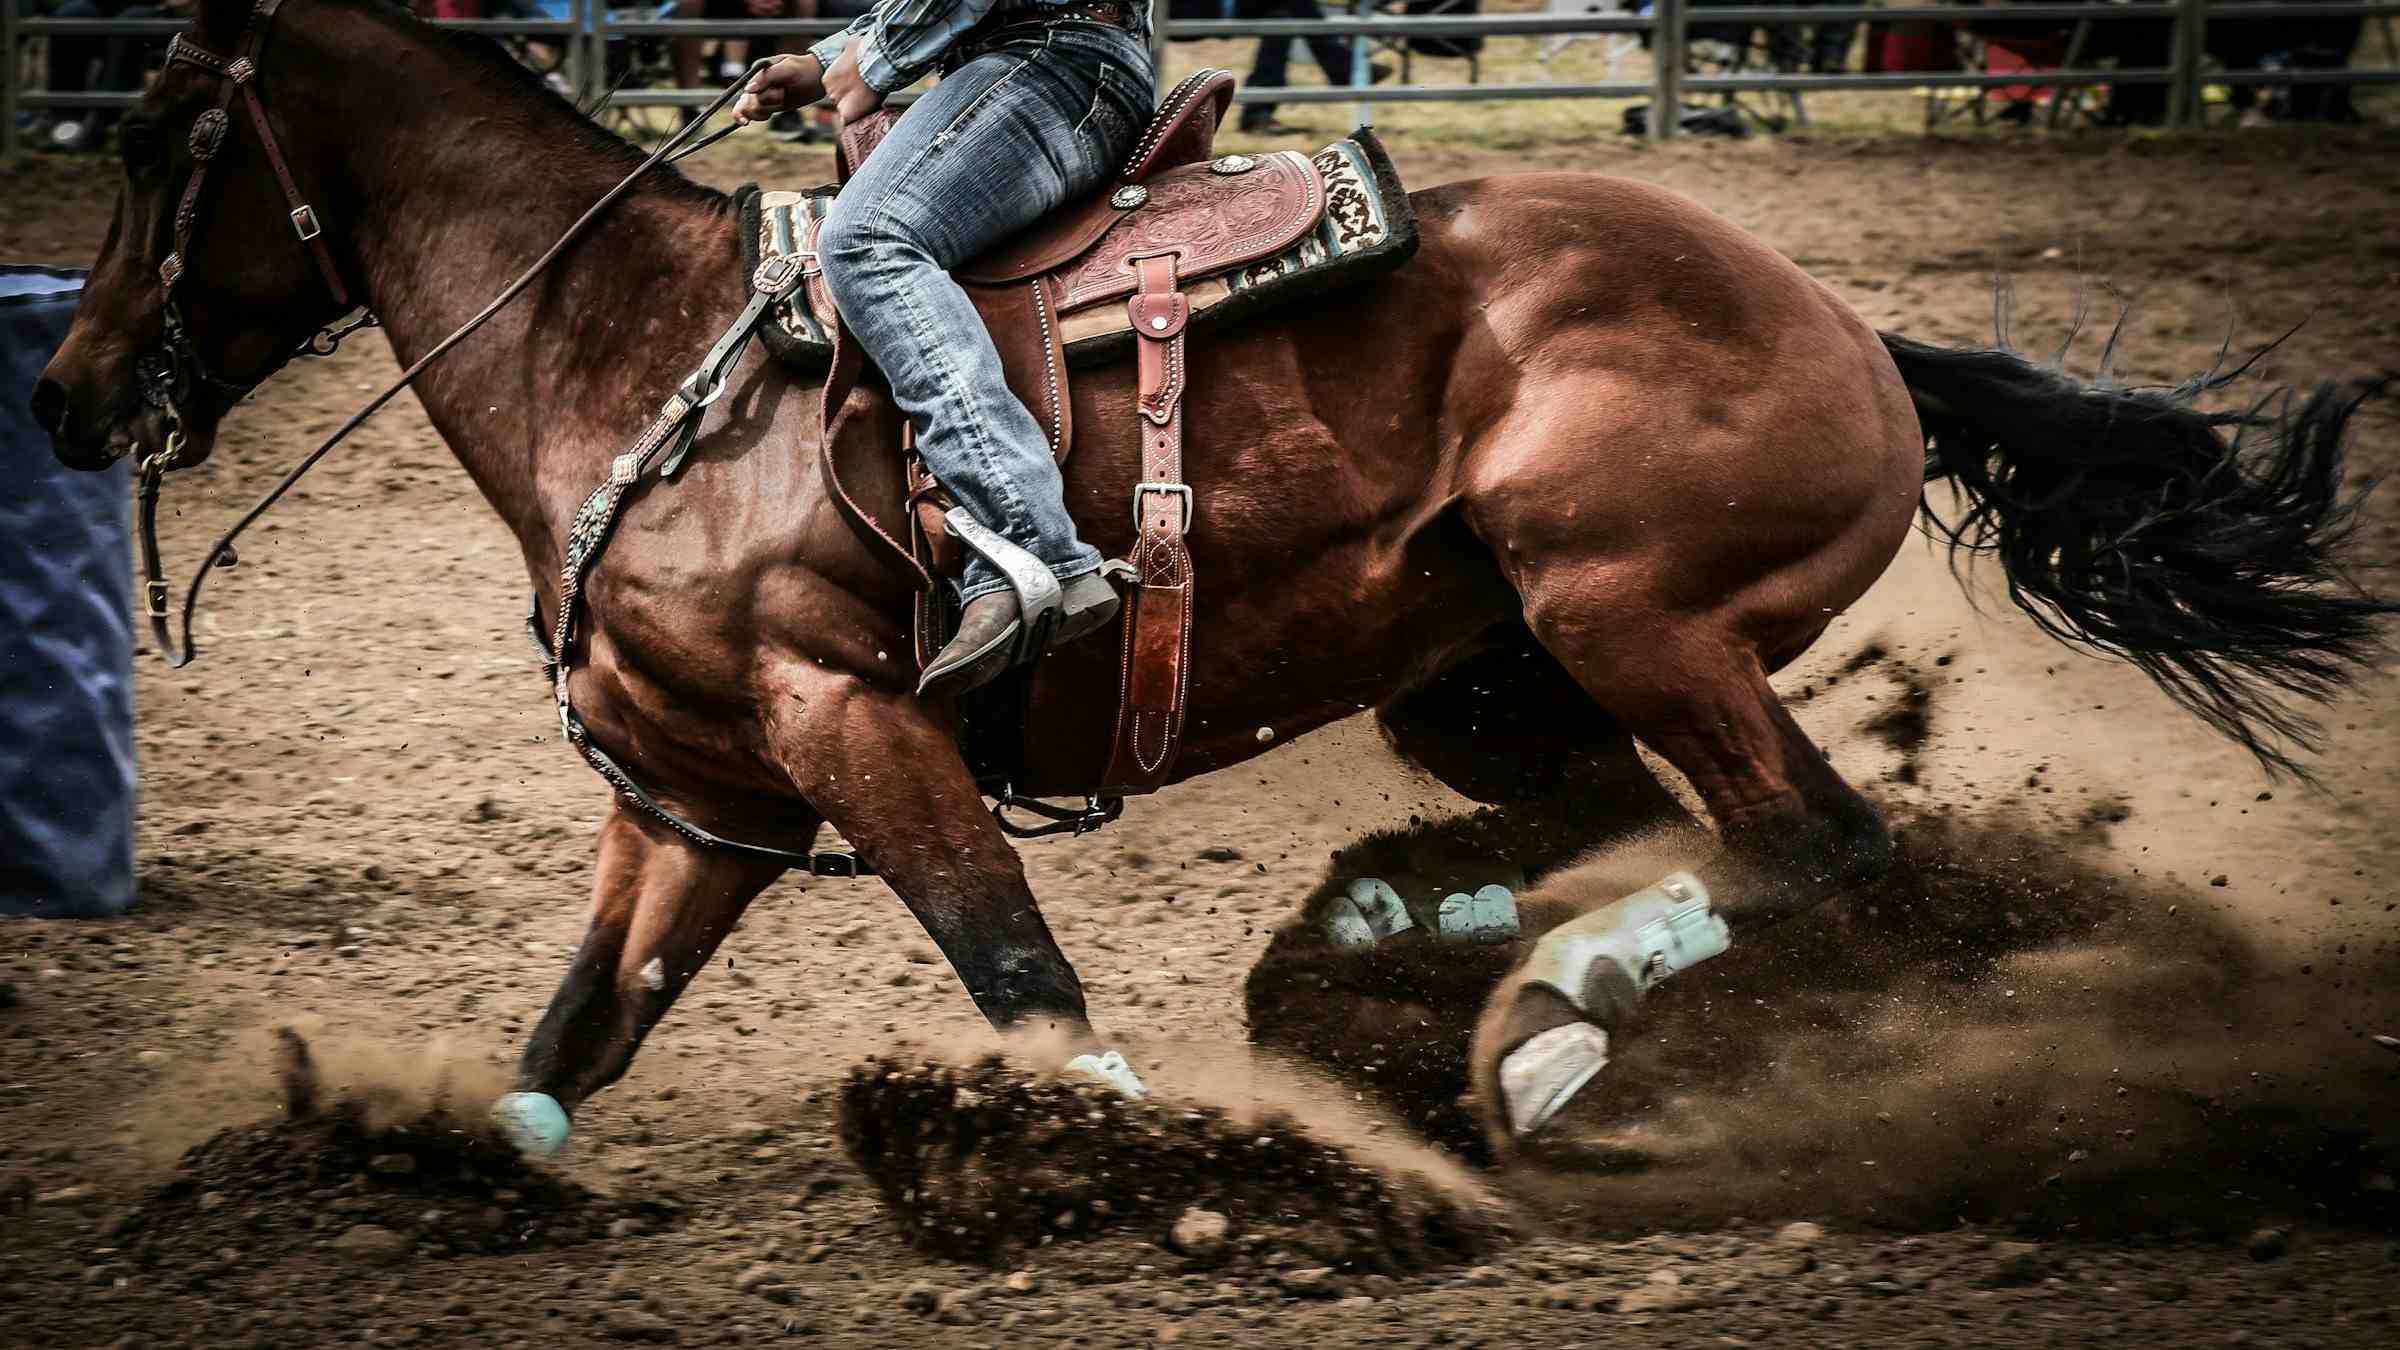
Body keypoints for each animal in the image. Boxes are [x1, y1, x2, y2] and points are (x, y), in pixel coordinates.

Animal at [32, 5, 2380, 1153]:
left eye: (156, 146)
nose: (59, 395)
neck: (630, 353)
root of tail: (1851, 325)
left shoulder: (857, 729)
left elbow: (1025, 986)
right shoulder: (698, 799)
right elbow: (568, 1045)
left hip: (1626, 611)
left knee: (1817, 840)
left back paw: (1550, 1026)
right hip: (1490, 670)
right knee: (1634, 823)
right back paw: (1407, 934)